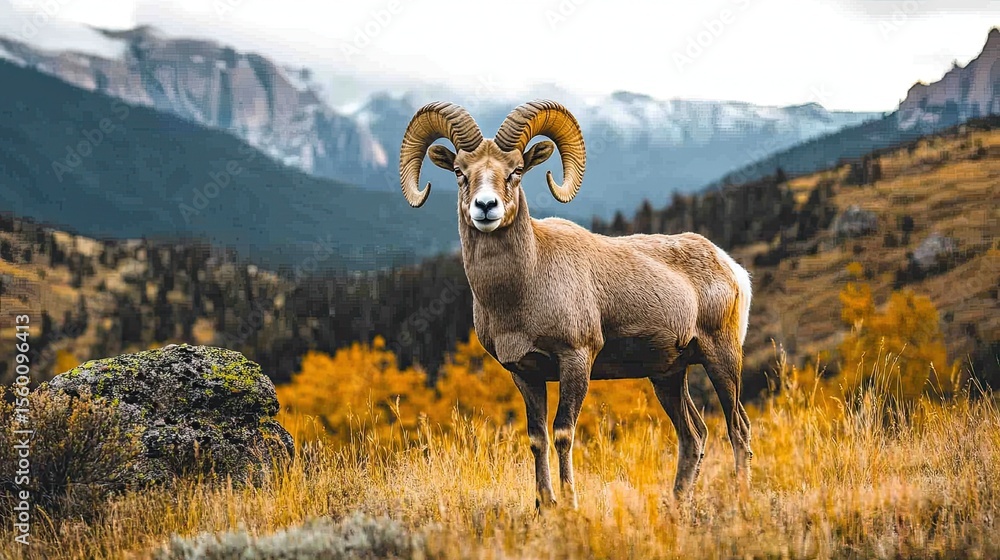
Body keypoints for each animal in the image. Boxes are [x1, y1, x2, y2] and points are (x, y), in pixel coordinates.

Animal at [398, 99, 753, 508]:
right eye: (460, 171)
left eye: (516, 170)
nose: (485, 207)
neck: (522, 289)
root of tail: (732, 269)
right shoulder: (525, 374)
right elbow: (537, 437)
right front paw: (544, 506)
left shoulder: (576, 360)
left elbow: (563, 433)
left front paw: (569, 503)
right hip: (668, 376)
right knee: (693, 436)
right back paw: (676, 505)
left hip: (721, 359)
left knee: (738, 427)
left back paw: (740, 498)